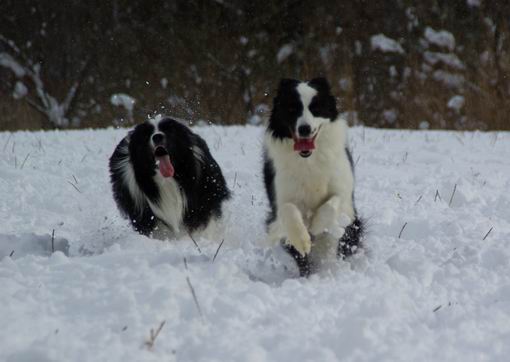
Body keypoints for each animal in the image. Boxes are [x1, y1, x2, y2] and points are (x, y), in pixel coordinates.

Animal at [262, 78, 362, 276]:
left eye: (316, 108)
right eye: (292, 109)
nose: (304, 129)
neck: (309, 159)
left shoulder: (344, 194)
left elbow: (332, 203)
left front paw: (316, 225)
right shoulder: (280, 198)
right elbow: (288, 210)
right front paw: (303, 239)